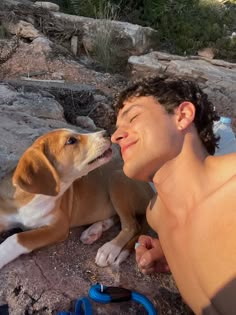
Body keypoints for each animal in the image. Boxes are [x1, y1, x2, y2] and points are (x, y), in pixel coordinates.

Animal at [0, 130, 153, 270]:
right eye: (71, 140)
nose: (107, 132)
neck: (34, 198)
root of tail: (151, 191)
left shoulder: (59, 227)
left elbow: (17, 238)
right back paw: (95, 230)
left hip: (117, 179)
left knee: (131, 225)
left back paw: (109, 249)